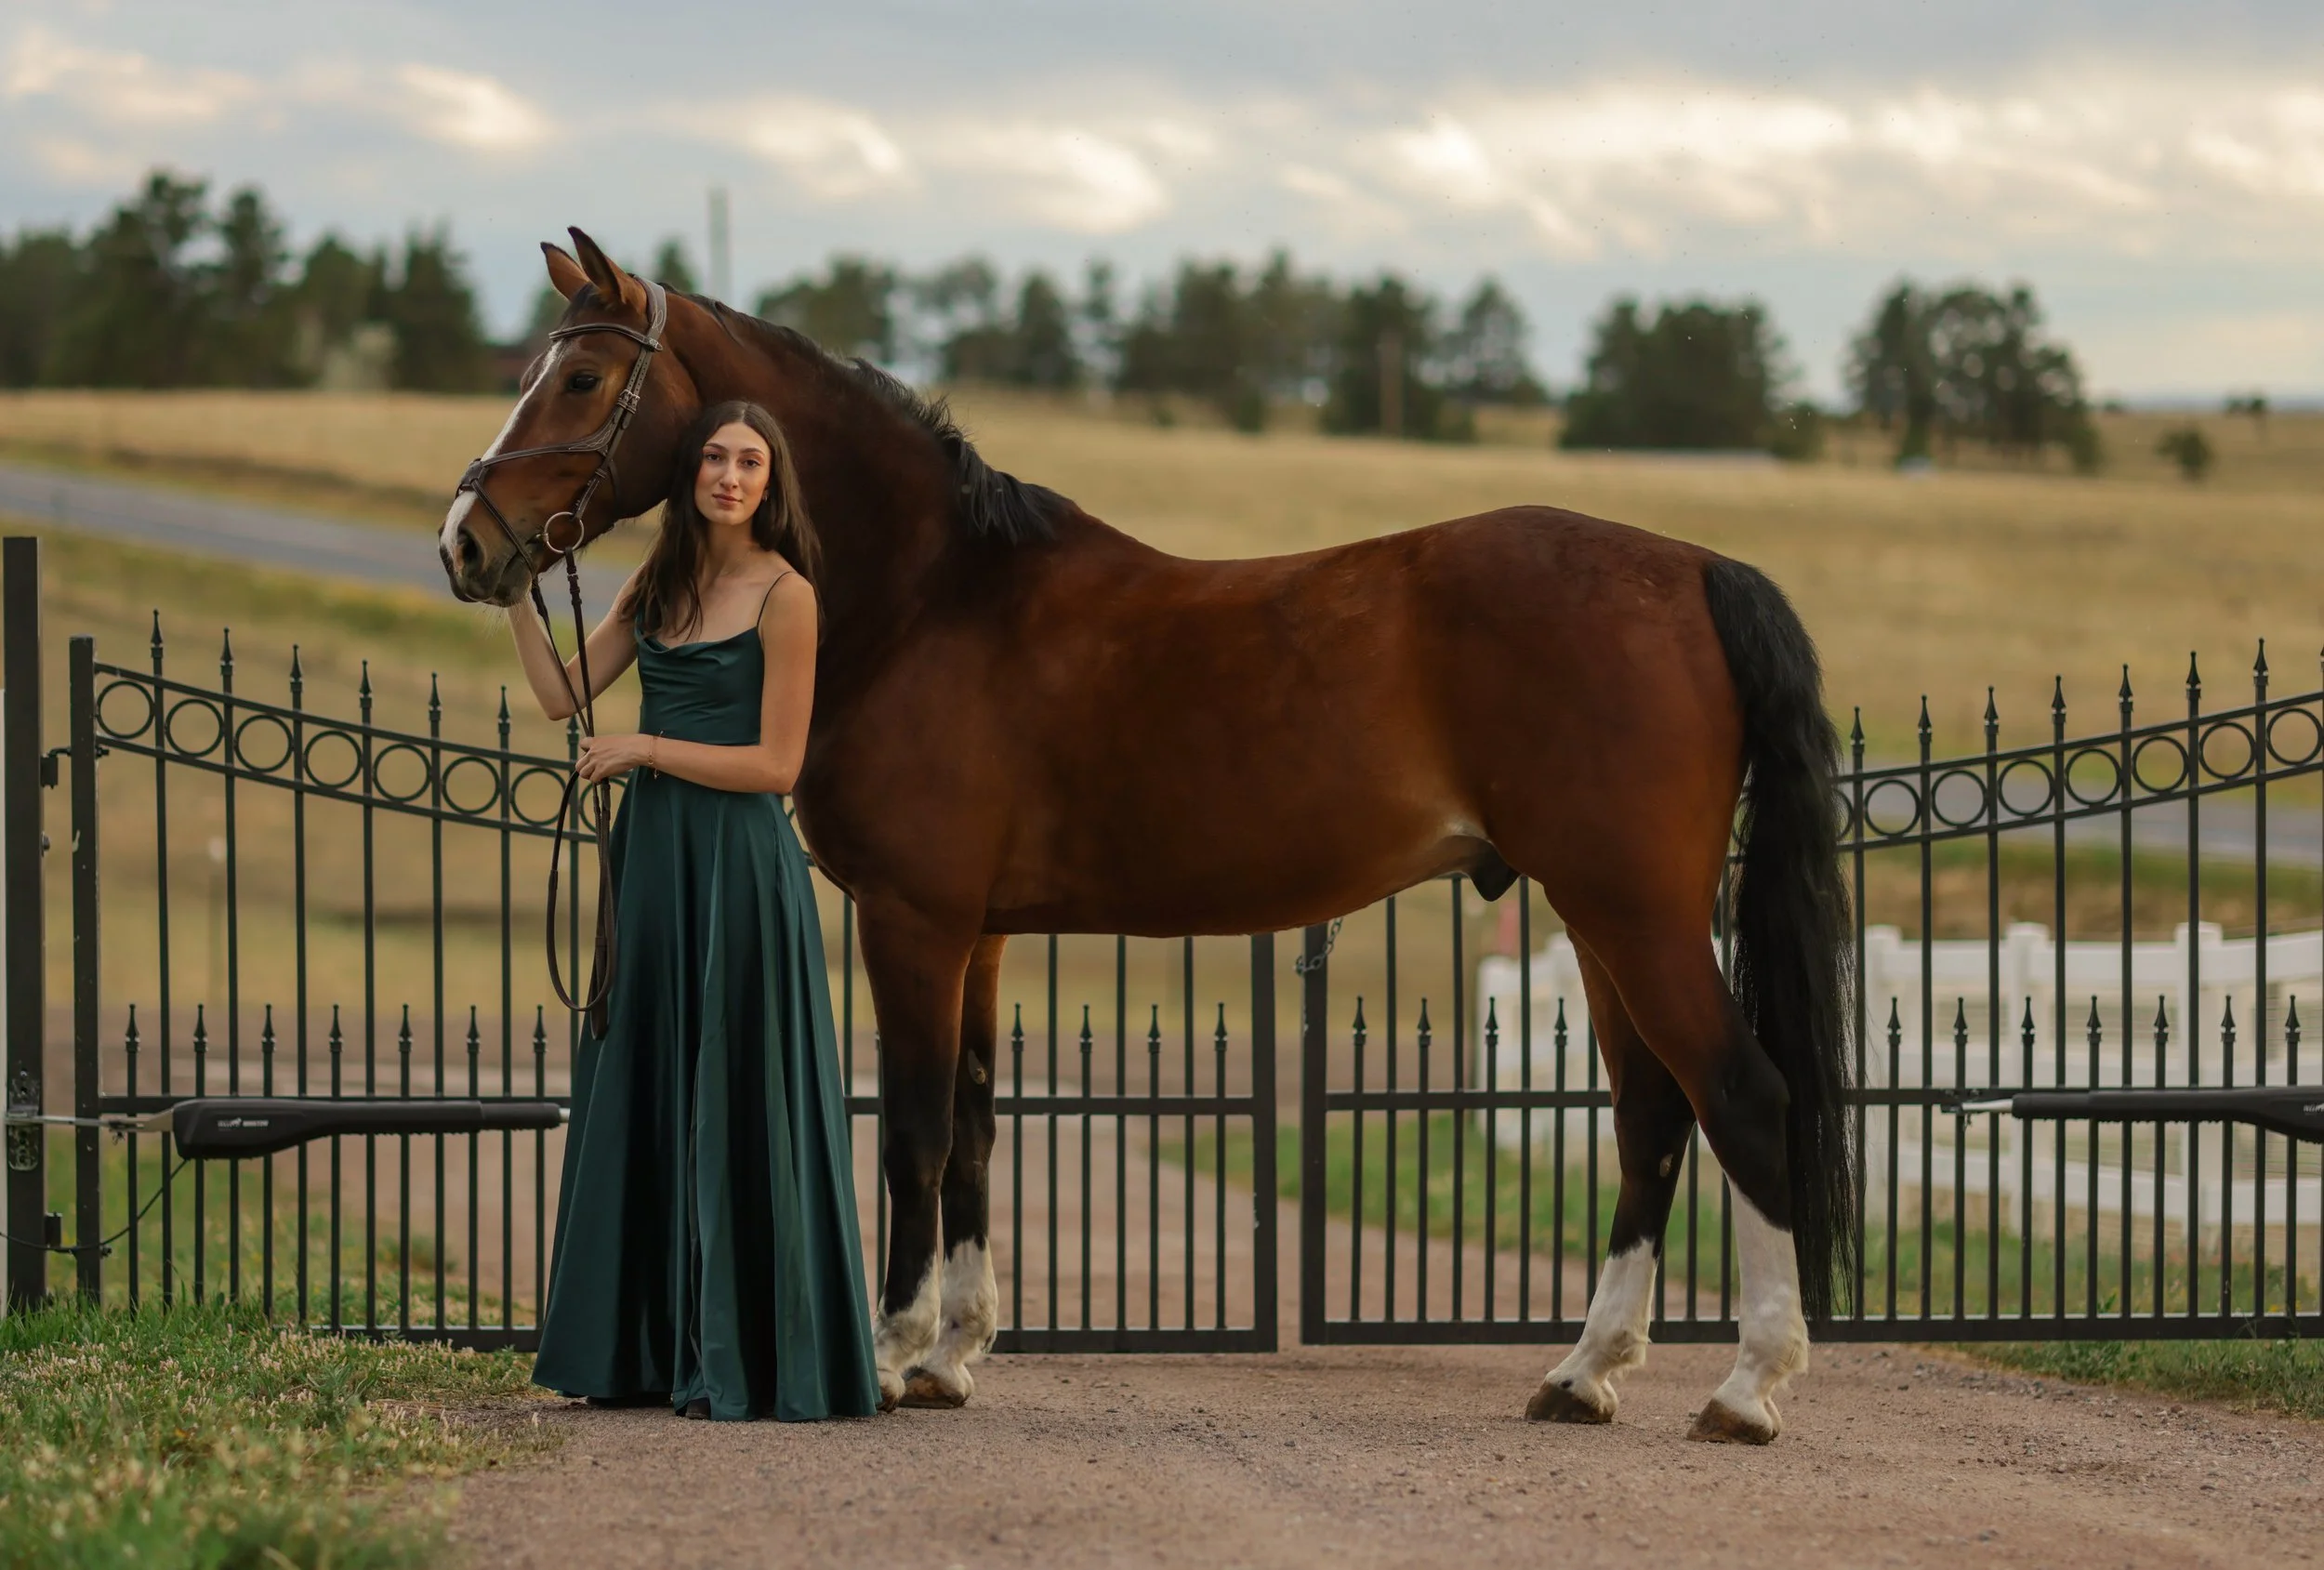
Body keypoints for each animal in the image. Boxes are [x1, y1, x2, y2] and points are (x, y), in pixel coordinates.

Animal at [439, 230, 1857, 1443]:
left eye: (577, 376)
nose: (466, 543)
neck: (931, 599)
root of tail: (1693, 571)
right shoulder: (979, 934)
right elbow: (975, 1121)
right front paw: (955, 1355)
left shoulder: (913, 919)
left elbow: (910, 1130)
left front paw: (890, 1358)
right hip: (1601, 915)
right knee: (1651, 1114)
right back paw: (1583, 1371)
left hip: (1633, 911)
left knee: (1739, 1094)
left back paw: (1747, 1385)